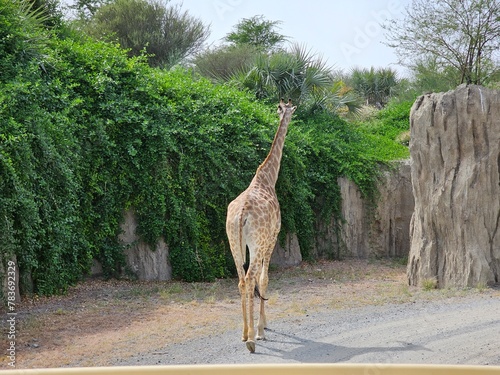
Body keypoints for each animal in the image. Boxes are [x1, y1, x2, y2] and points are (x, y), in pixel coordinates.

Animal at [225, 98, 294, 354]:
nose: (288, 115)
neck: (268, 178)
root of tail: (242, 214)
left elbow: (254, 281)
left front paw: (258, 327)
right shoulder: (272, 236)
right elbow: (263, 279)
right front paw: (262, 329)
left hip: (233, 242)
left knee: (241, 280)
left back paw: (244, 334)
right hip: (255, 243)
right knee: (250, 277)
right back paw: (252, 339)